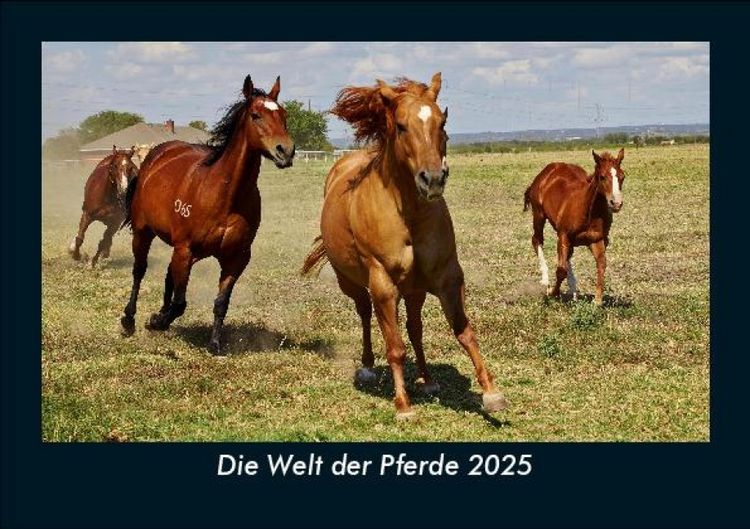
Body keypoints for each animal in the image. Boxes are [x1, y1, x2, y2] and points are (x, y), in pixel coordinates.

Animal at [120, 75, 295, 355]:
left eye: (284, 114)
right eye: (256, 115)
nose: (285, 151)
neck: (225, 196)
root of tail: (156, 154)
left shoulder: (236, 258)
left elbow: (220, 302)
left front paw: (214, 344)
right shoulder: (185, 249)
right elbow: (180, 303)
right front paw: (156, 322)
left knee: (169, 276)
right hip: (143, 232)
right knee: (139, 270)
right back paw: (129, 320)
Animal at [302, 73, 507, 419]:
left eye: (442, 122)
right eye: (400, 126)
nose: (433, 179)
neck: (408, 214)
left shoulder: (447, 277)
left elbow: (464, 331)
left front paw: (491, 392)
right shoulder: (383, 284)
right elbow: (395, 346)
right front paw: (403, 404)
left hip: (414, 290)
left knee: (414, 328)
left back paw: (427, 379)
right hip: (353, 283)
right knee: (365, 314)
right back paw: (369, 368)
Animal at [523, 149, 626, 305]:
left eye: (622, 177)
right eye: (602, 177)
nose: (616, 203)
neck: (589, 212)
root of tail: (547, 171)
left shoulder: (597, 240)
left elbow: (601, 264)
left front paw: (597, 301)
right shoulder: (563, 235)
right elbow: (561, 270)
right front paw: (553, 293)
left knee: (567, 256)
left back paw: (573, 290)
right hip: (539, 215)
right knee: (537, 240)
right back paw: (546, 280)